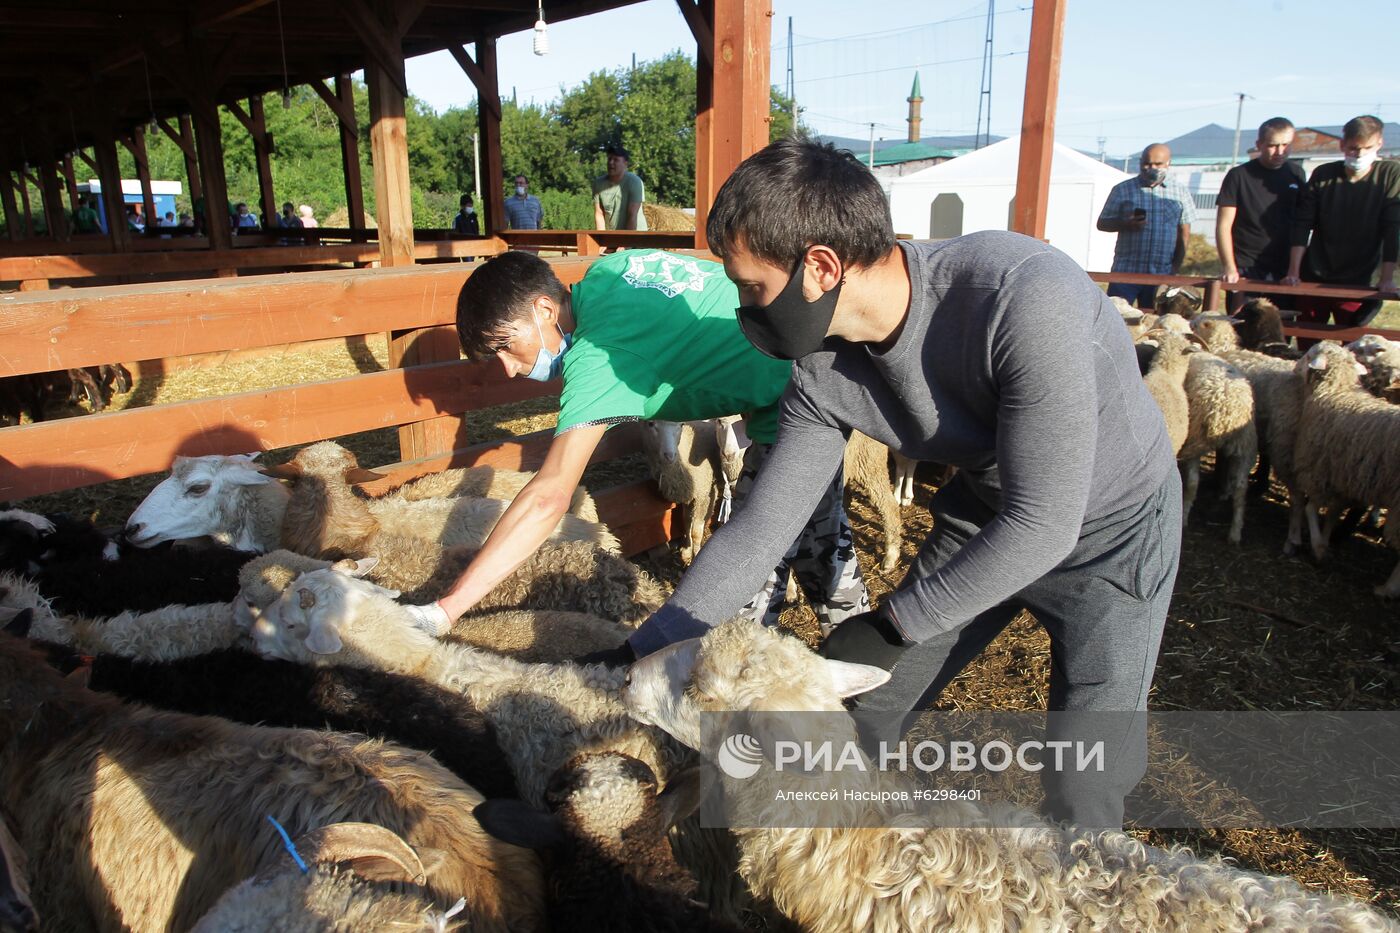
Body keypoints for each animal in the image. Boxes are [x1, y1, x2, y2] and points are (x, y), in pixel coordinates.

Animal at [1288, 343, 1400, 596]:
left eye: (1309, 356)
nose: (1294, 368)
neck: (1335, 391)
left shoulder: (1318, 471)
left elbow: (1311, 509)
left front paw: (1318, 547)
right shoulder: (1341, 479)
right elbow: (1332, 513)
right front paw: (1325, 541)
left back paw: (1387, 588)